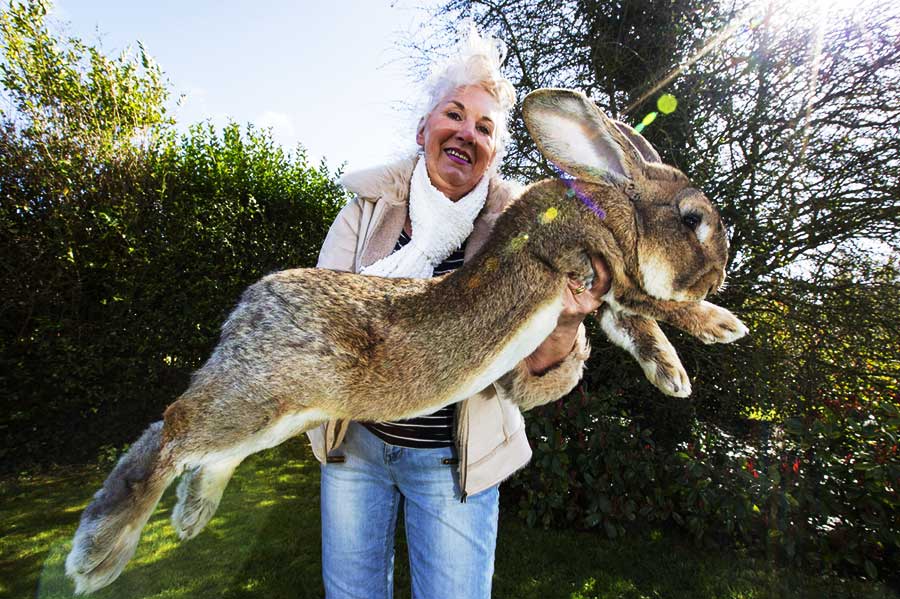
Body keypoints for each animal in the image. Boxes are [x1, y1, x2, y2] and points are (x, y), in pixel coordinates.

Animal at [65, 88, 747, 594]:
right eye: (692, 219)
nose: (719, 273)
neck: (610, 205)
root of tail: (247, 311)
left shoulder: (602, 296)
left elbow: (636, 327)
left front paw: (673, 376)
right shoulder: (594, 266)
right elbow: (654, 304)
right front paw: (720, 324)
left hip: (281, 415)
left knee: (203, 450)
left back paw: (189, 517)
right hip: (260, 396)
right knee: (173, 429)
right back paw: (99, 551)